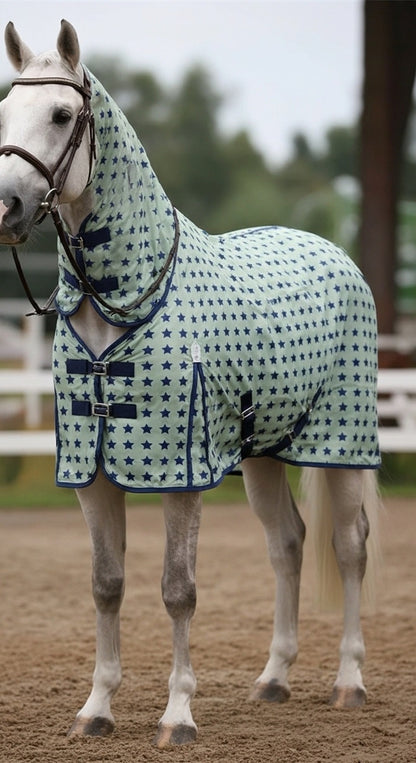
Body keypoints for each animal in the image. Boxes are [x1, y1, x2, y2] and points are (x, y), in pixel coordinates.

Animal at [0, 21, 381, 748]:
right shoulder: (91, 473)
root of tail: (335, 253)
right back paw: (274, 678)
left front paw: (177, 715)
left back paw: (349, 682)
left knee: (349, 548)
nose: (6, 204)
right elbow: (107, 583)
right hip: (262, 455)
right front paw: (96, 709)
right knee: (288, 543)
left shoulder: (181, 473)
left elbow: (178, 589)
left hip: (340, 448)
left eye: (61, 115)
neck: (122, 303)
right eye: (4, 112)